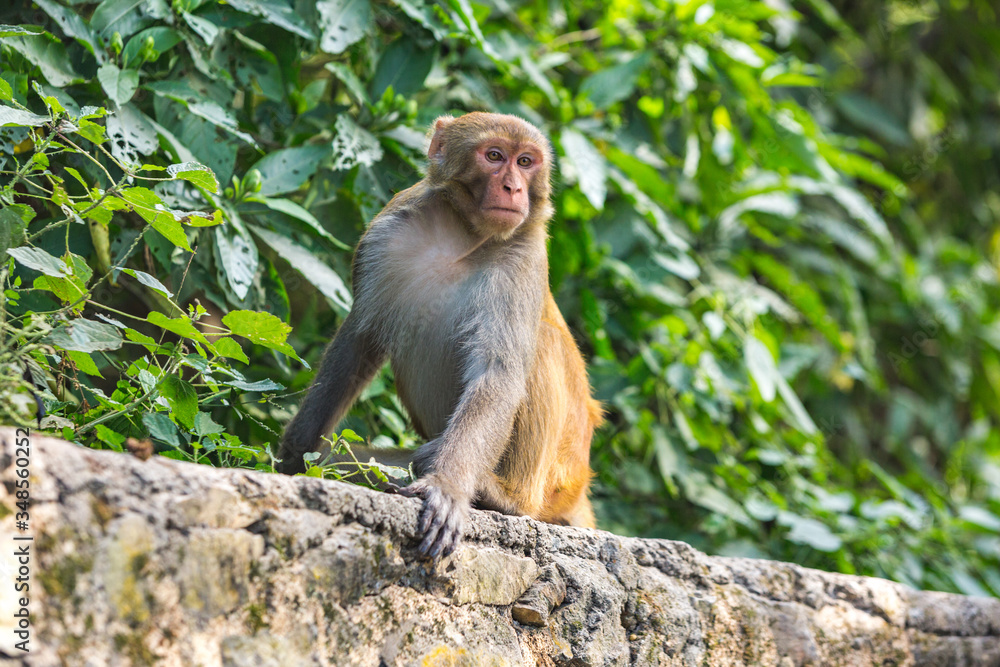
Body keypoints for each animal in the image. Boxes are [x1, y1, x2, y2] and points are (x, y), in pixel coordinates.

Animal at [277, 112, 602, 559]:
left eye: (526, 162)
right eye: (494, 156)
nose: (514, 188)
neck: (460, 234)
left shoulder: (524, 256)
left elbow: (498, 375)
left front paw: (447, 486)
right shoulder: (385, 233)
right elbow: (358, 343)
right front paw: (294, 453)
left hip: (559, 482)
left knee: (540, 346)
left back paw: (506, 497)